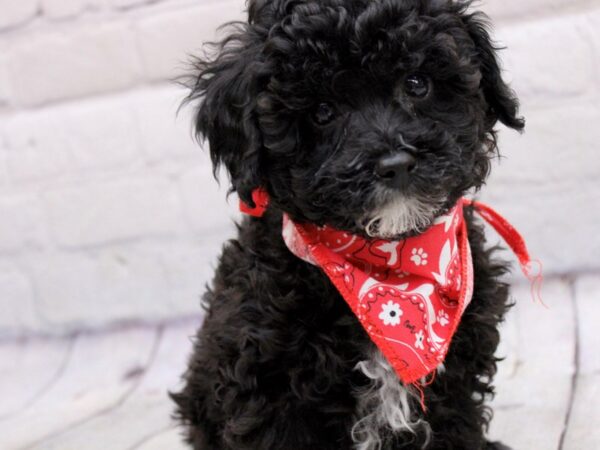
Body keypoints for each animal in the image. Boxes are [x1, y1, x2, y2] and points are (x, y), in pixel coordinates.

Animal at [171, 1, 524, 448]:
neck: (390, 265)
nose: (395, 164)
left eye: (416, 83)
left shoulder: (455, 388)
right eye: (322, 112)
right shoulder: (266, 393)